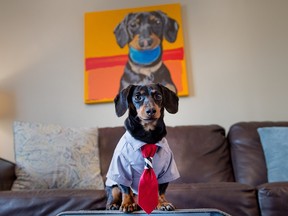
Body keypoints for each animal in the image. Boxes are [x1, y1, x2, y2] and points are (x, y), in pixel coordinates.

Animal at [104, 84, 179, 213]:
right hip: (112, 185)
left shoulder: (167, 169)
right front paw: (128, 203)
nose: (151, 111)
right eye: (137, 97)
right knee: (114, 193)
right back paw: (114, 204)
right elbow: (126, 189)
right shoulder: (121, 166)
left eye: (158, 96)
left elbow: (160, 191)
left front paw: (162, 203)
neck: (147, 138)